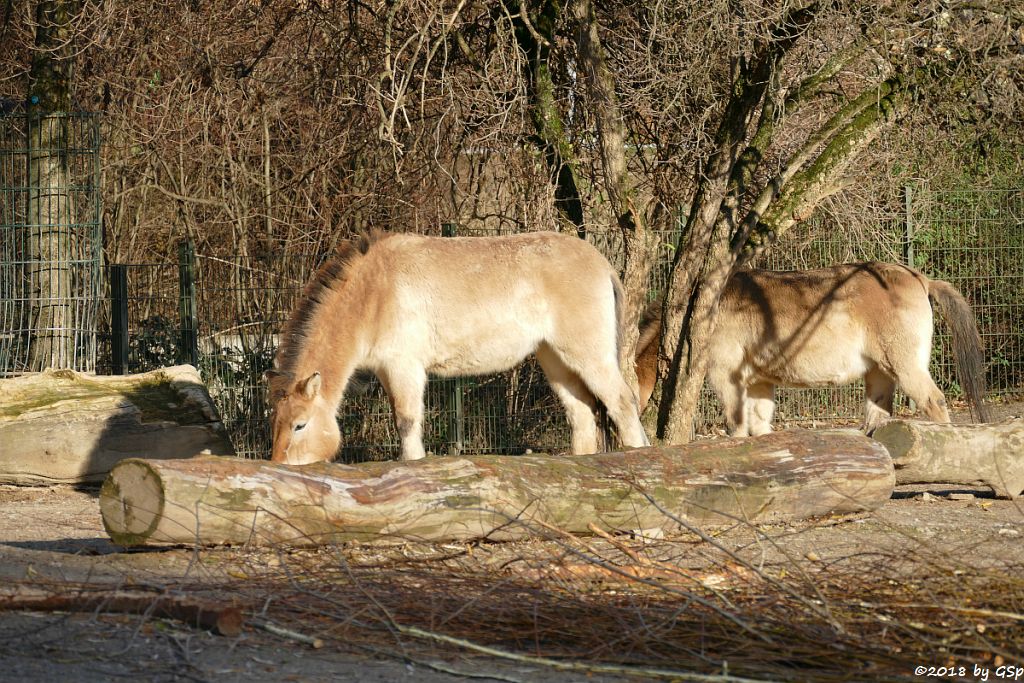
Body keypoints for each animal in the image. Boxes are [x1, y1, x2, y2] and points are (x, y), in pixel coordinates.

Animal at [266, 231, 647, 464]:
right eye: (276, 423)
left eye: (300, 425)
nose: (280, 466)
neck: (372, 292)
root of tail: (602, 264)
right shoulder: (388, 371)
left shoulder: (405, 368)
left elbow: (406, 421)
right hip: (555, 360)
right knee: (582, 416)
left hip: (588, 357)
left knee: (622, 404)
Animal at [634, 262, 987, 438]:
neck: (703, 309)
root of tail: (920, 278)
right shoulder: (759, 382)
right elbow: (760, 427)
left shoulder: (725, 376)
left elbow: (737, 426)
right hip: (879, 374)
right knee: (877, 417)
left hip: (906, 368)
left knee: (935, 403)